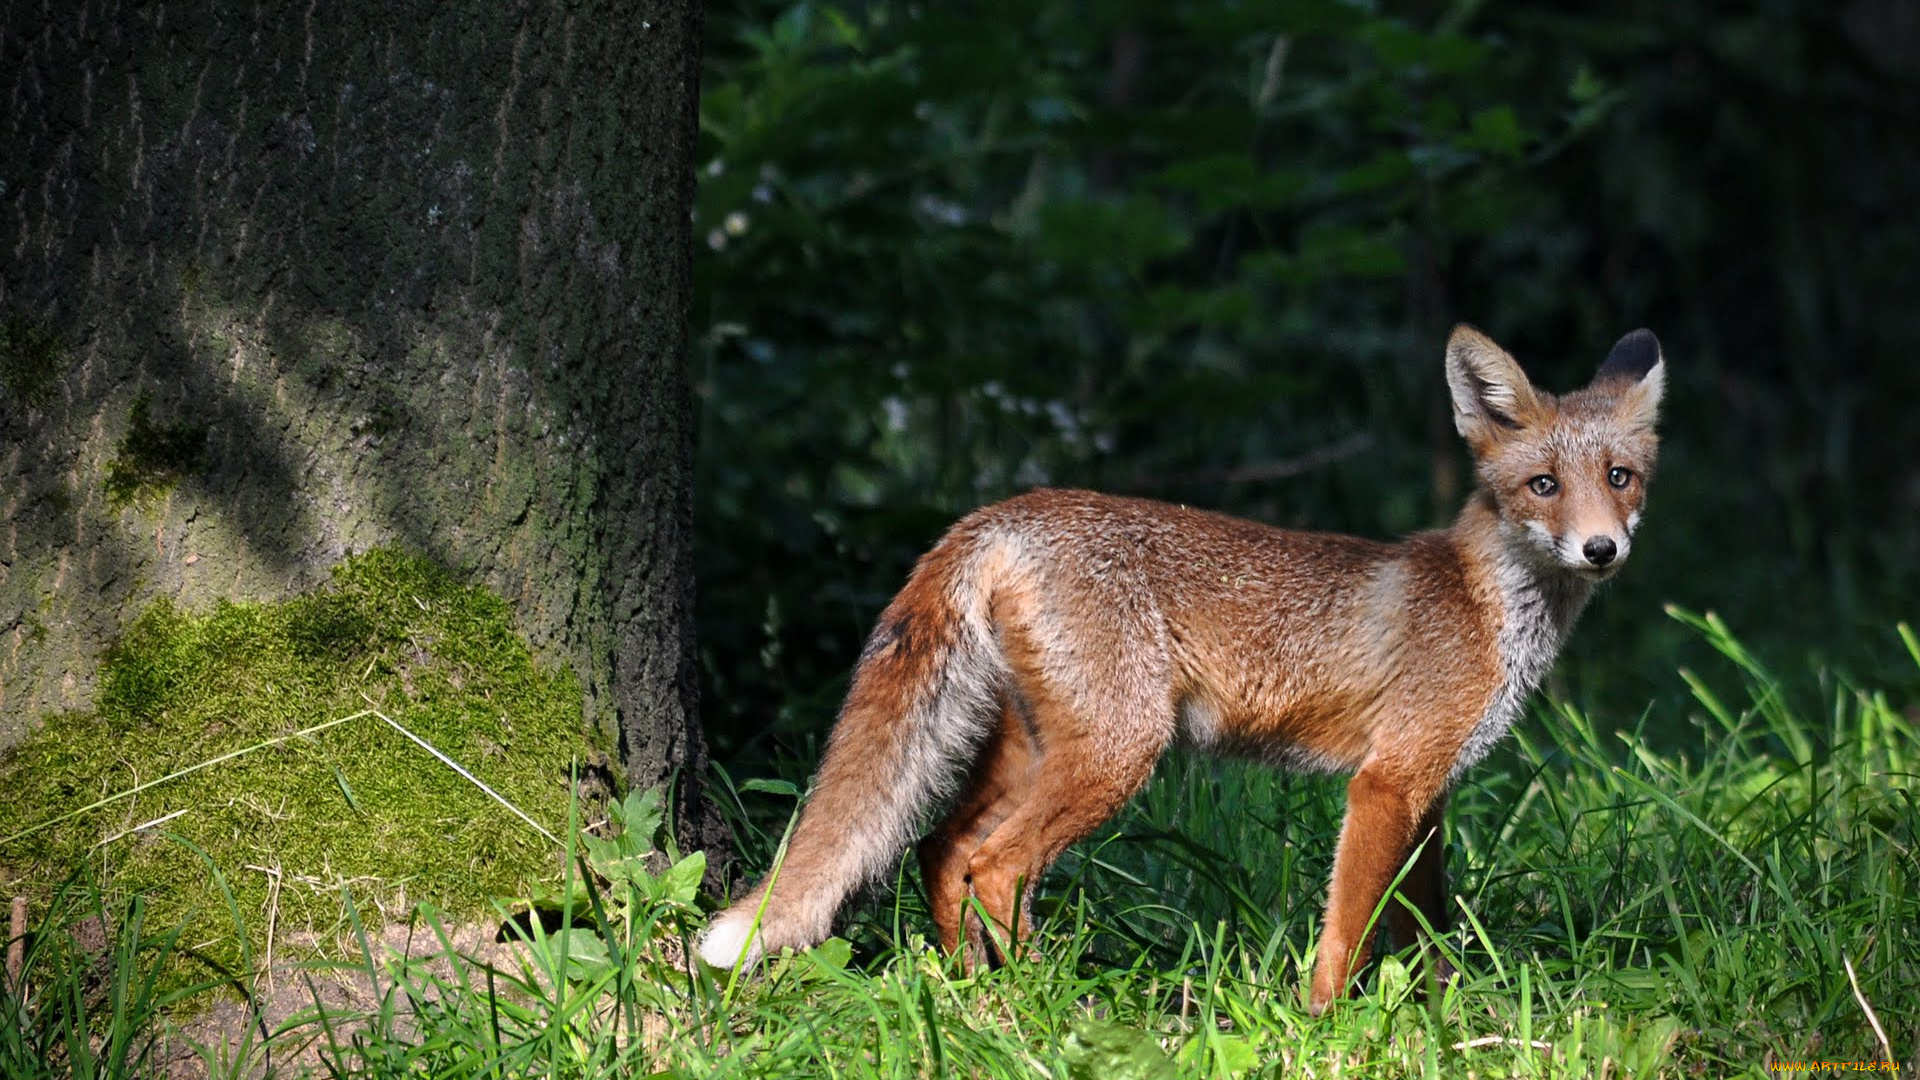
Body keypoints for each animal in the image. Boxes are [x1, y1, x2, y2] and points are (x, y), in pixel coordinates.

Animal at [700, 324, 1664, 1014]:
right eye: (1544, 486)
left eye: (1620, 478)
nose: (1603, 550)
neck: (1482, 602)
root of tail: (1000, 512)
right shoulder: (1387, 782)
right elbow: (1348, 931)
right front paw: (1326, 1023)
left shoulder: (1428, 792)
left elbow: (1424, 929)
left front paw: (1437, 1020)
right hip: (1120, 749)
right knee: (995, 866)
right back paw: (1050, 1000)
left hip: (1034, 747)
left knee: (943, 849)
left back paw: (973, 992)